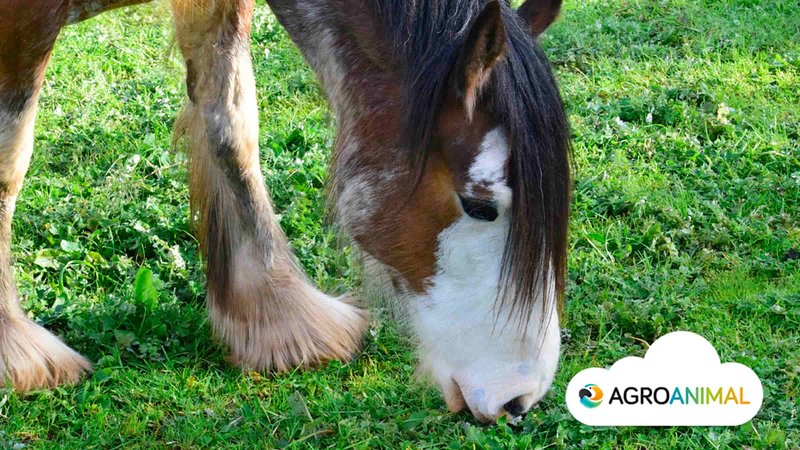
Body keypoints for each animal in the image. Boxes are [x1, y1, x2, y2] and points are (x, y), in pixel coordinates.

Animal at [3, 0, 572, 422]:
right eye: (479, 207)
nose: (519, 398)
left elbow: (230, 125)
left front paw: (279, 315)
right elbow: (10, 158)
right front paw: (15, 351)